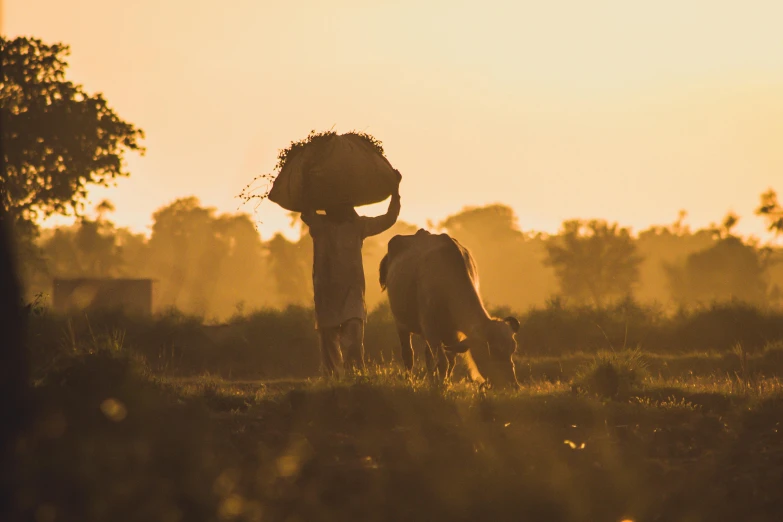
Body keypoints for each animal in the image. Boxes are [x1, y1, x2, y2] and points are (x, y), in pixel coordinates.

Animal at [378, 230, 520, 388]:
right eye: (492, 350)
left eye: (512, 348)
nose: (512, 385)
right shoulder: (431, 330)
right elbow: (442, 362)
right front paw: (441, 386)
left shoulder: (453, 334)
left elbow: (451, 360)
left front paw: (445, 383)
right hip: (401, 324)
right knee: (408, 355)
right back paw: (410, 380)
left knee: (428, 357)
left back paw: (431, 380)